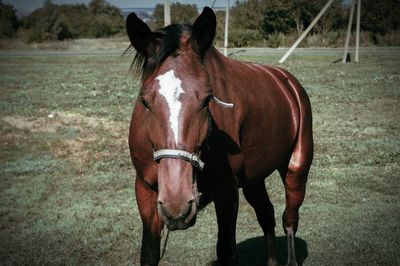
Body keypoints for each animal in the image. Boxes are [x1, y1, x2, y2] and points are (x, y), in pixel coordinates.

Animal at [126, 6, 314, 266]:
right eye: (144, 101)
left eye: (207, 100)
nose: (177, 205)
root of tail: (288, 83)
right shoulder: (144, 189)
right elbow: (149, 253)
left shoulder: (226, 193)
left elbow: (225, 250)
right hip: (254, 178)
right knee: (266, 214)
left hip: (296, 167)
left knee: (290, 219)